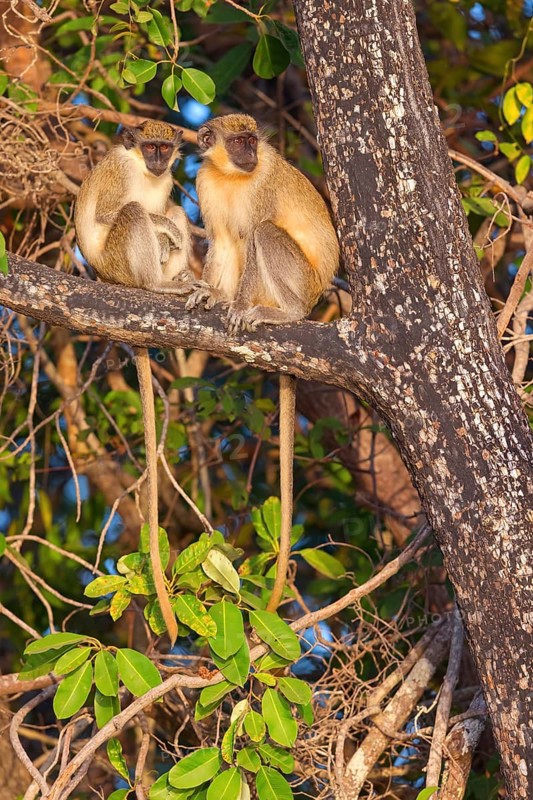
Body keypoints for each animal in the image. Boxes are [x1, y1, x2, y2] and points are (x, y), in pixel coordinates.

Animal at [187, 114, 339, 612]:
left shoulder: (263, 184)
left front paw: (231, 307)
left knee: (263, 234)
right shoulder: (204, 182)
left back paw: (279, 314)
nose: (250, 154)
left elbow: (255, 235)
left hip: (300, 286)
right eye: (238, 142)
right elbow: (220, 240)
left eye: (252, 141)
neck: (231, 176)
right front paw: (211, 295)